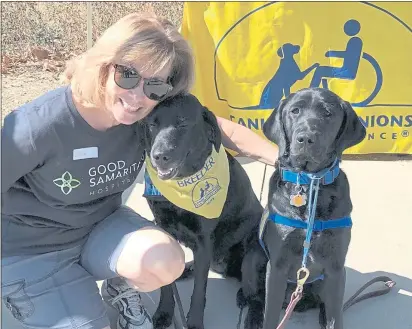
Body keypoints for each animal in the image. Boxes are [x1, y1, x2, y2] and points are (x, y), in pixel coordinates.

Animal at [140, 93, 266, 328]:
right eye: (152, 124)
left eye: (183, 123)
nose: (159, 156)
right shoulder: (163, 228)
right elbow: (166, 285)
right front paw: (164, 312)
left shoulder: (203, 240)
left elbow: (199, 290)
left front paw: (195, 321)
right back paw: (186, 269)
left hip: (253, 255)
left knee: (258, 295)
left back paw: (251, 313)